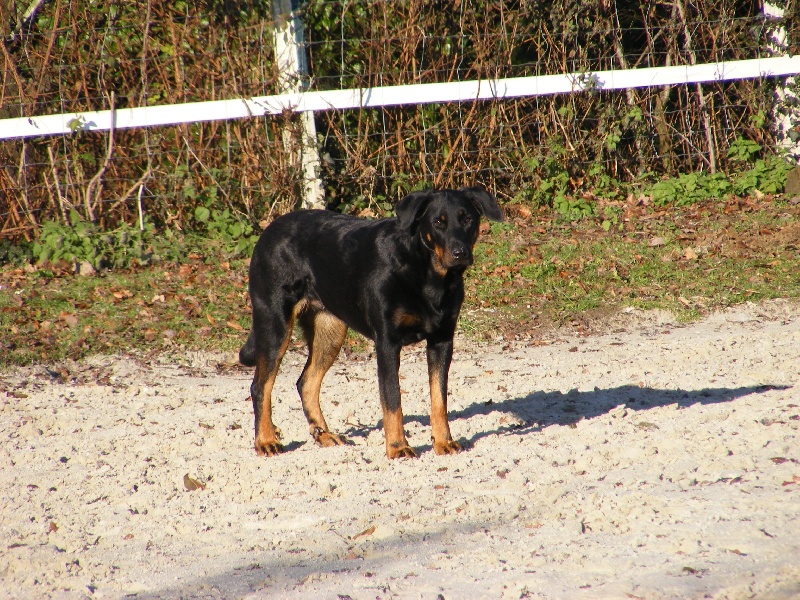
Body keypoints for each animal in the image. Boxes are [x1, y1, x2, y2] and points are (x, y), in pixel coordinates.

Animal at [238, 188, 504, 460]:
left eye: (467, 219)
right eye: (438, 222)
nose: (460, 253)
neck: (428, 274)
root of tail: (268, 232)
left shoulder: (442, 340)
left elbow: (439, 399)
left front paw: (443, 442)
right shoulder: (387, 342)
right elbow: (392, 399)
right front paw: (398, 447)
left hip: (330, 329)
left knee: (307, 383)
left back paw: (324, 435)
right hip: (275, 323)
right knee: (260, 387)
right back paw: (266, 440)